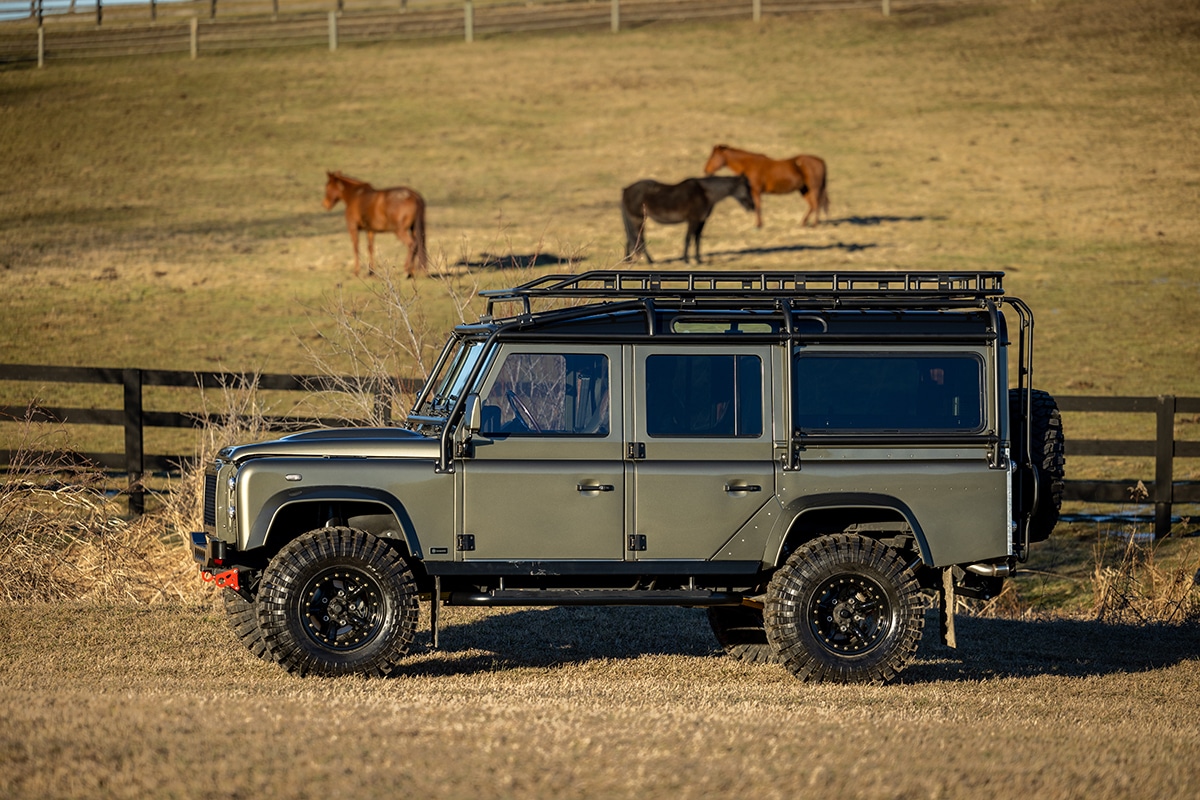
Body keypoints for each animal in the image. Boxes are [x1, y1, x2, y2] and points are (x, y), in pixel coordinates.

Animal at [624, 173, 753, 262]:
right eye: (747, 188)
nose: (752, 206)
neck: (704, 193)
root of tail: (626, 189)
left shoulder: (701, 221)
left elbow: (697, 239)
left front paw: (698, 260)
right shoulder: (693, 220)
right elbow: (688, 238)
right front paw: (686, 260)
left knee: (631, 238)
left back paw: (628, 259)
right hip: (638, 219)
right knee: (639, 238)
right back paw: (650, 261)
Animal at [700, 145, 830, 227]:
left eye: (714, 156)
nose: (706, 170)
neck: (749, 165)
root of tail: (821, 161)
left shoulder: (756, 191)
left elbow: (758, 207)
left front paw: (758, 225)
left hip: (814, 188)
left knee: (817, 204)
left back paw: (814, 224)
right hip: (804, 190)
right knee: (813, 205)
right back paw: (803, 223)